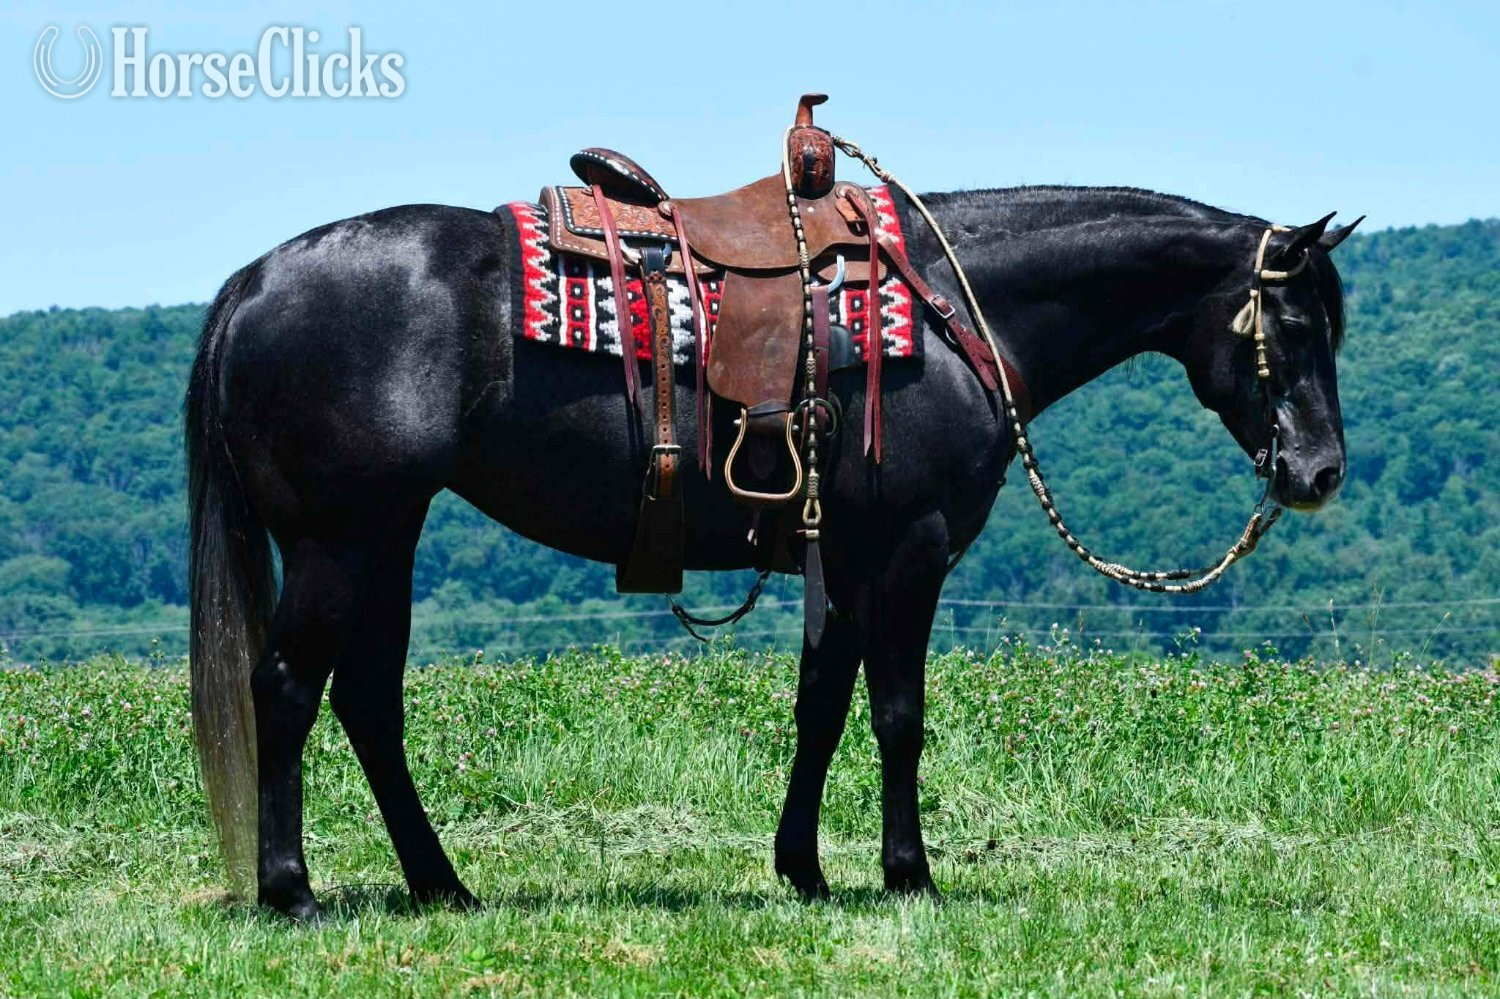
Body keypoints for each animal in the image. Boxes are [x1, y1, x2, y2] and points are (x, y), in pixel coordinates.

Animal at [186, 182, 1357, 919]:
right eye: (1296, 326)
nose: (1318, 472)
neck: (950, 307)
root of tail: (253, 281)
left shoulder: (841, 560)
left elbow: (822, 707)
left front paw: (804, 869)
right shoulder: (910, 550)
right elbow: (897, 715)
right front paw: (908, 874)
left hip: (387, 535)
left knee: (366, 702)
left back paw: (443, 885)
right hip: (337, 539)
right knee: (286, 687)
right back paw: (291, 889)